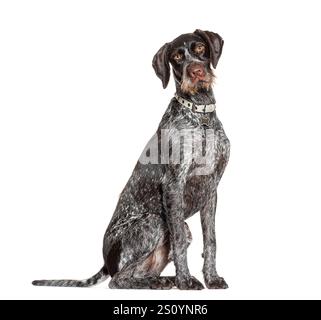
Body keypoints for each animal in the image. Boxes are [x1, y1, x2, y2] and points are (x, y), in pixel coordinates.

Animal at [32, 29, 229, 290]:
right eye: (177, 57)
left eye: (200, 49)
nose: (196, 71)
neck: (200, 115)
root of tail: (106, 262)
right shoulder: (174, 185)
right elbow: (178, 242)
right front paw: (185, 282)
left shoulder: (211, 188)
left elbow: (211, 240)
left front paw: (212, 278)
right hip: (154, 222)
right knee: (118, 280)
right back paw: (164, 281)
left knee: (138, 273)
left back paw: (164, 279)